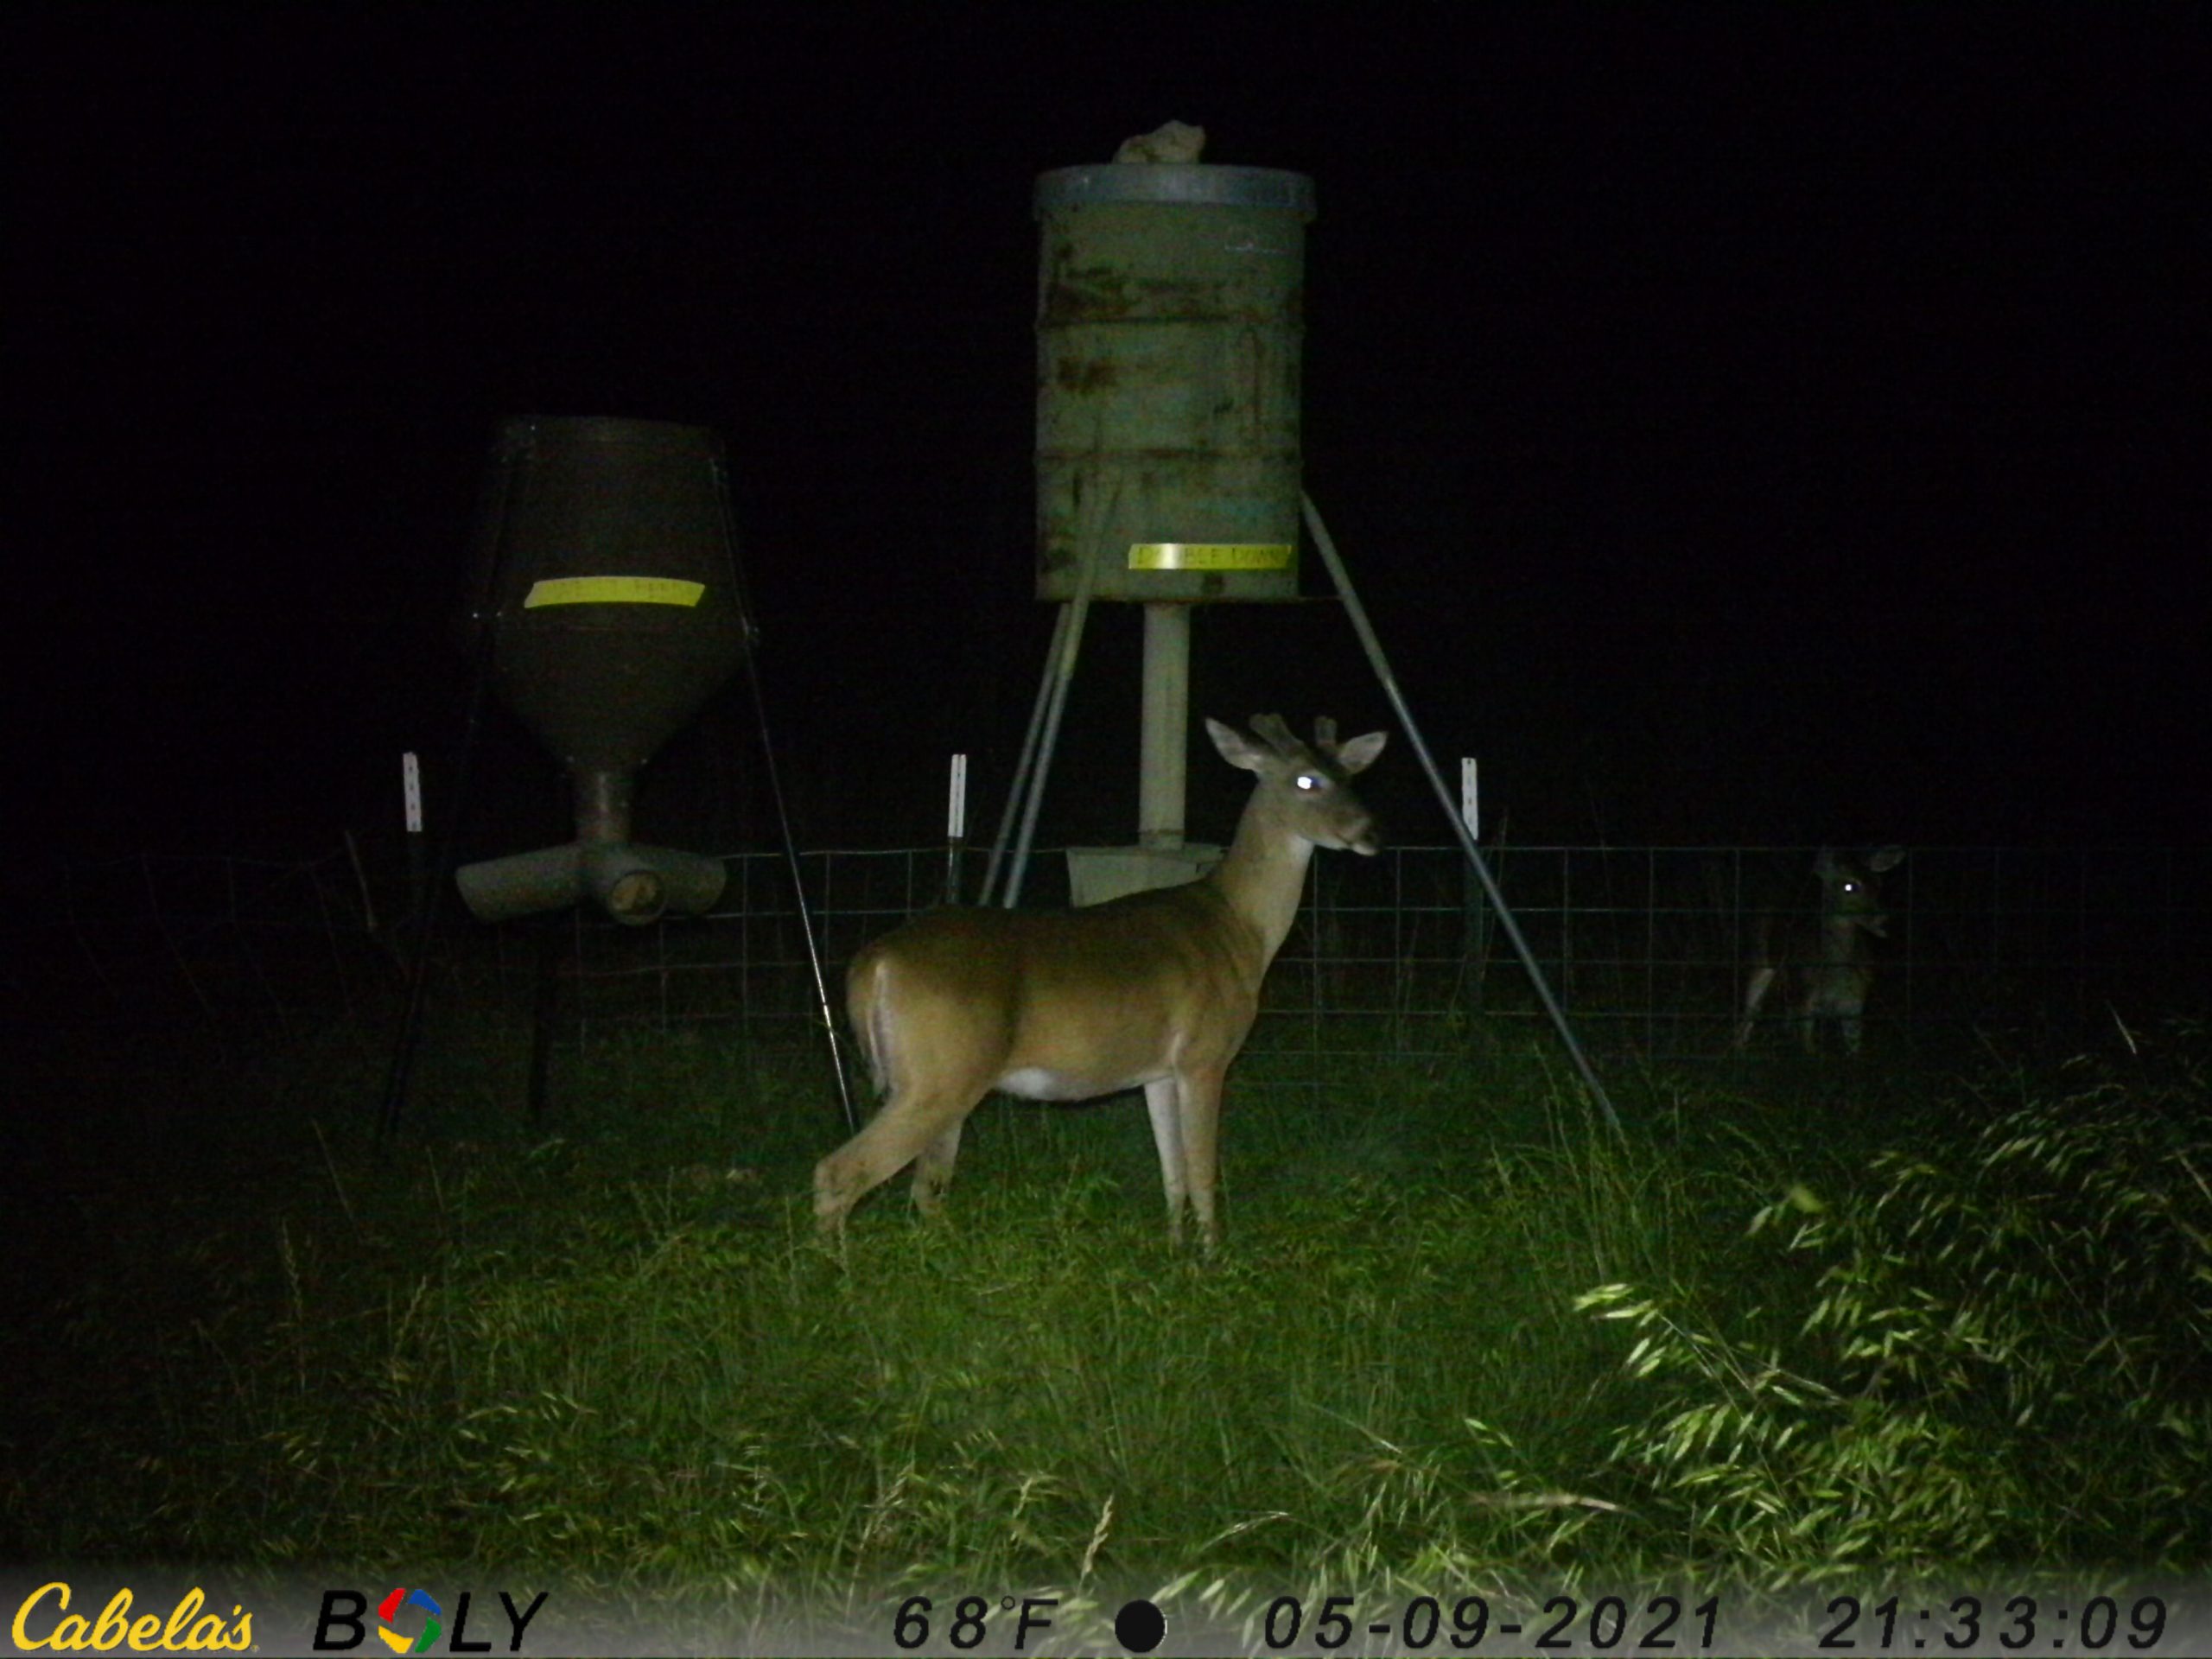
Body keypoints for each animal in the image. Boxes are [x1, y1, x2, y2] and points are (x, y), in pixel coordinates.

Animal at [813, 714, 1387, 1253]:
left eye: (1352, 775)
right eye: (1307, 780)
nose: (1368, 832)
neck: (1240, 927)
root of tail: (874, 963)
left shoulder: (1158, 1072)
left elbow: (1173, 1172)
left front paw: (1175, 1250)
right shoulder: (1205, 1055)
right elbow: (1203, 1171)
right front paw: (1212, 1258)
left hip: (923, 1079)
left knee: (921, 1186)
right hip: (940, 1076)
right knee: (840, 1172)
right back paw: (839, 1273)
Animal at [1733, 846, 1907, 1056]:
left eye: (1879, 883)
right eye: (1849, 886)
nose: (1884, 921)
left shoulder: (1856, 1001)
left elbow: (1854, 1048)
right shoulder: (1807, 998)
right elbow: (1808, 1047)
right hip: (1760, 956)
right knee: (1752, 1004)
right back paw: (1739, 1046)